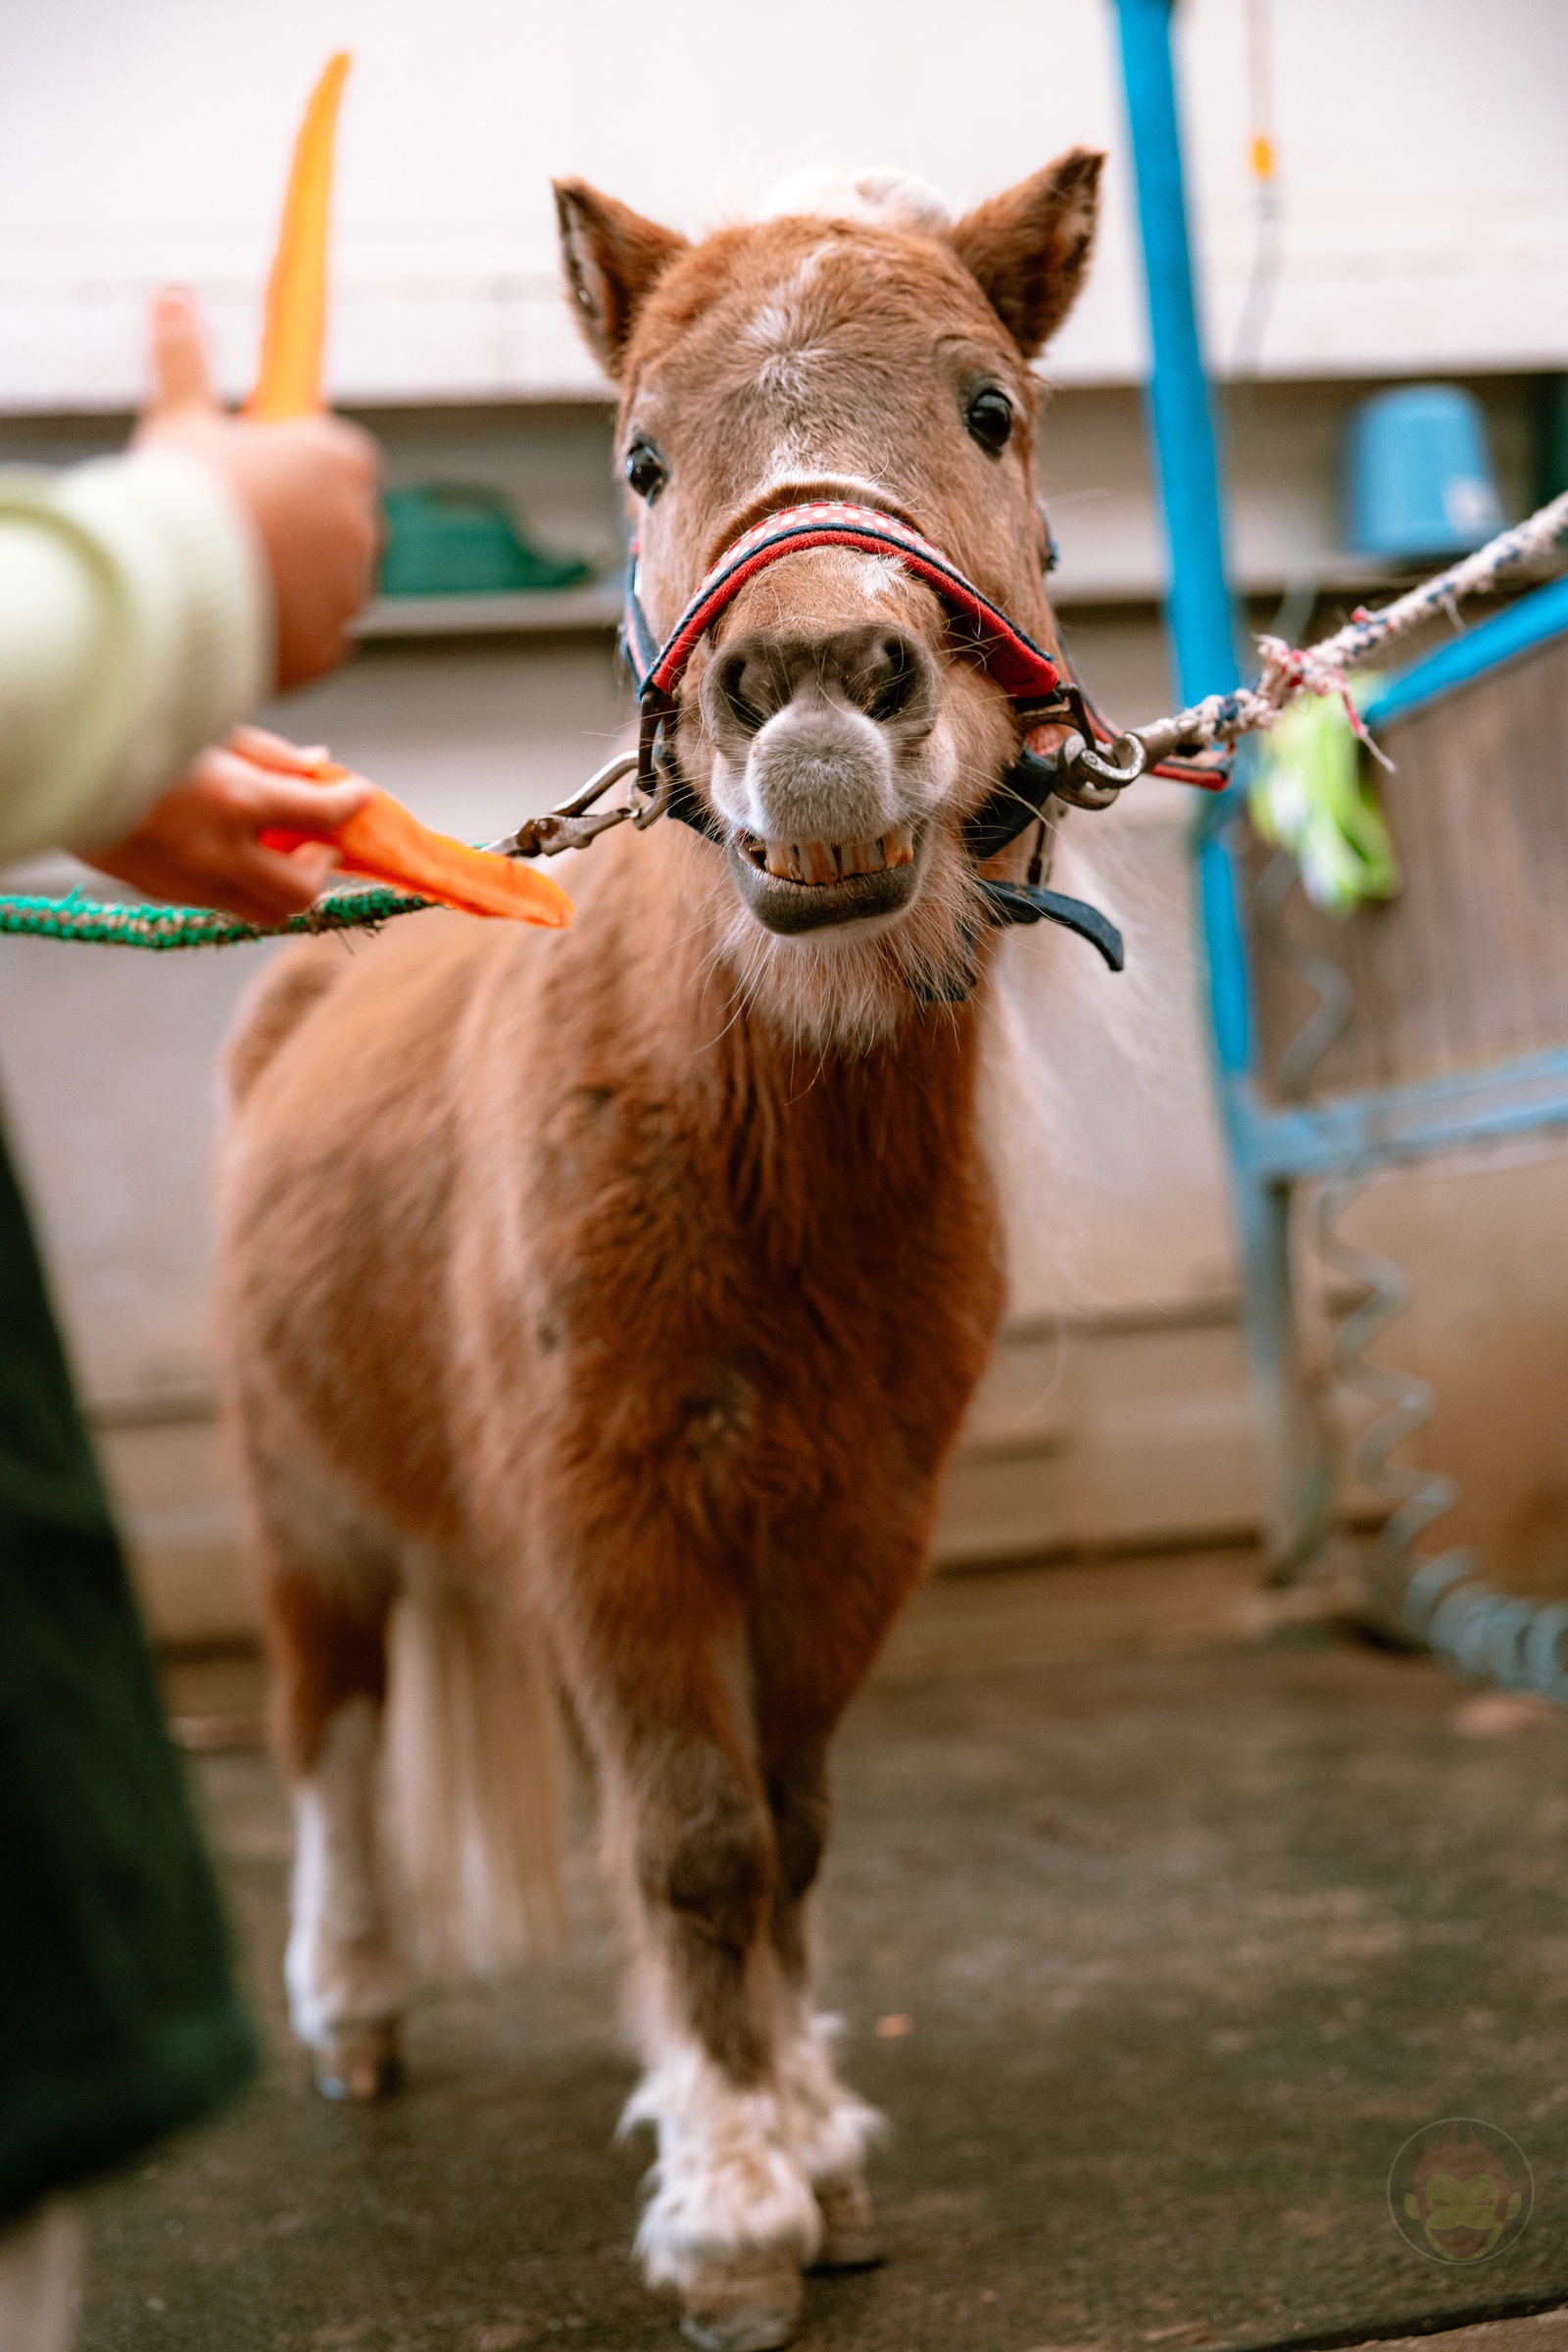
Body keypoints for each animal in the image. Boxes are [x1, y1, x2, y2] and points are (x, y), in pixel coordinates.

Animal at [216, 146, 1112, 2350]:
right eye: (637, 455)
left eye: (988, 408)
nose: (814, 698)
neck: (756, 1146)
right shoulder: (615, 1515)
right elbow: (695, 1844)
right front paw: (727, 2212)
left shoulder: (848, 1527)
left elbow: (779, 1831)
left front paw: (804, 2139)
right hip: (306, 1514)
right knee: (327, 1740)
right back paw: (350, 2008)